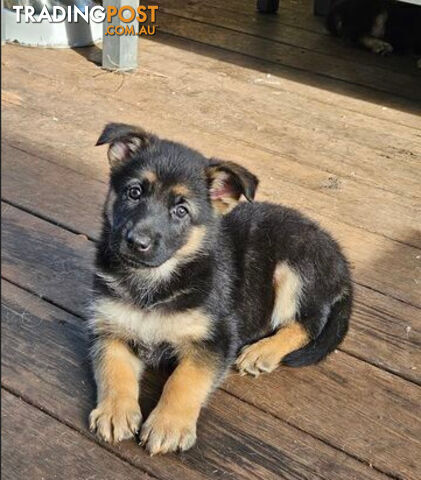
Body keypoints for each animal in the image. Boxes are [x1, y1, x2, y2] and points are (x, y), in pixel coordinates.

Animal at [88, 123, 352, 454]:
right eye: (134, 192)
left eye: (181, 211)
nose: (137, 243)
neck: (154, 282)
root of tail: (340, 260)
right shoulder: (109, 328)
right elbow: (113, 369)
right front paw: (115, 411)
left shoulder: (216, 339)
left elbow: (185, 379)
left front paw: (169, 424)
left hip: (294, 267)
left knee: (309, 323)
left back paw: (263, 351)